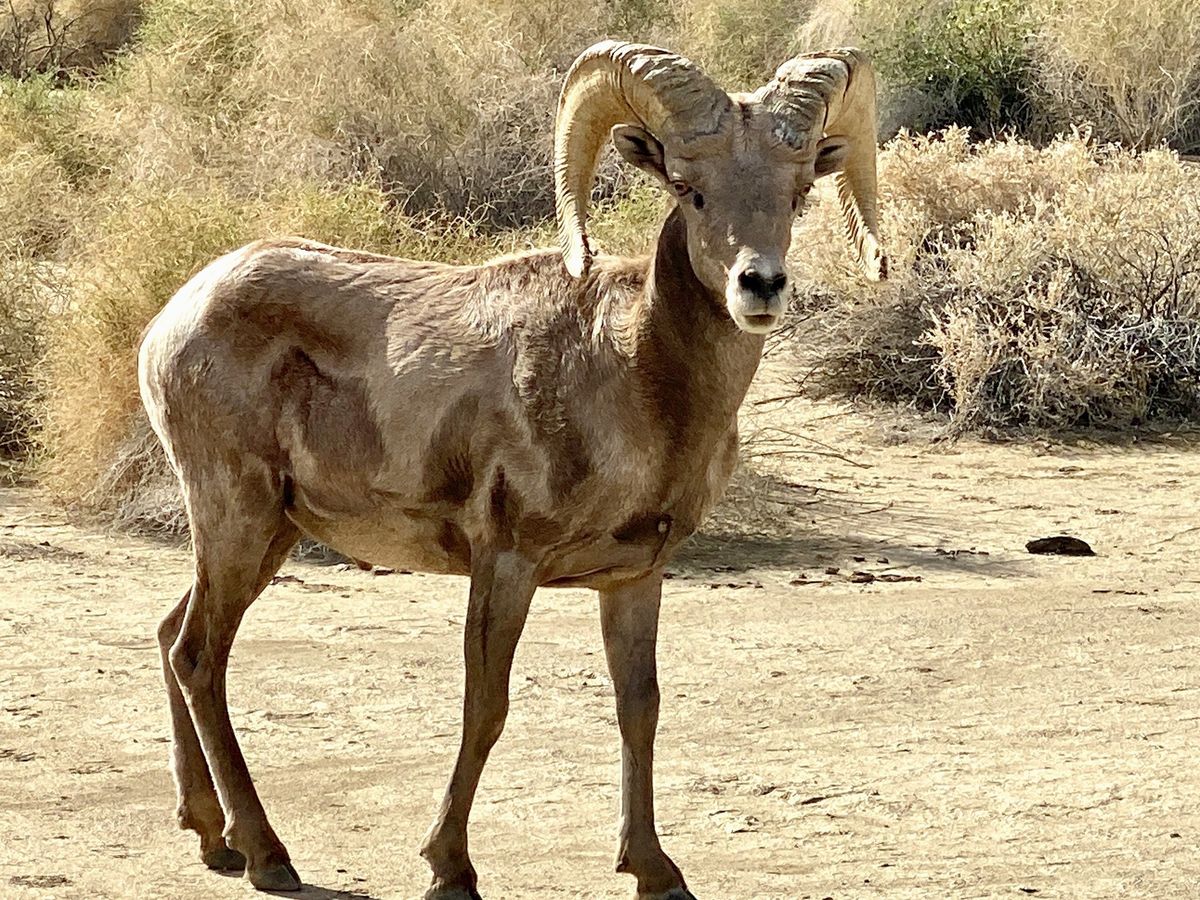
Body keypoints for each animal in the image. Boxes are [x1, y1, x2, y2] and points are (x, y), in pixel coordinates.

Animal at [140, 38, 888, 897]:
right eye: (691, 191)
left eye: (799, 195)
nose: (759, 285)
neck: (632, 376)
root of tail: (171, 322)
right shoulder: (506, 563)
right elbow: (486, 708)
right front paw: (450, 868)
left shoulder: (635, 579)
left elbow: (640, 707)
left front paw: (655, 869)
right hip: (238, 518)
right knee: (199, 658)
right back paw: (269, 856)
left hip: (268, 538)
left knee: (173, 638)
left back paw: (215, 840)